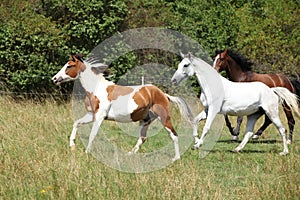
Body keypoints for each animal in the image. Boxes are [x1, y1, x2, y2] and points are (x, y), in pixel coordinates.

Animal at [51, 53, 192, 161]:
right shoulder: (92, 115)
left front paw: (87, 153)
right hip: (145, 120)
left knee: (174, 135)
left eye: (69, 66)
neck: (97, 89)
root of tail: (163, 94)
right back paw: (130, 154)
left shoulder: (100, 117)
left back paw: (176, 158)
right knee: (142, 138)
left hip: (163, 117)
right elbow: (76, 123)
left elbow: (92, 134)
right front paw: (72, 146)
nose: (54, 79)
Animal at [171, 52, 300, 155]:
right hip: (253, 115)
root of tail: (272, 90)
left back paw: (284, 151)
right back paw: (237, 149)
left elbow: (206, 127)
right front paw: (197, 141)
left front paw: (197, 145)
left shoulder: (213, 110)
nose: (173, 81)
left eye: (186, 65)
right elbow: (195, 121)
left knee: (283, 128)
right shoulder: (207, 110)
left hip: (272, 112)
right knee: (249, 132)